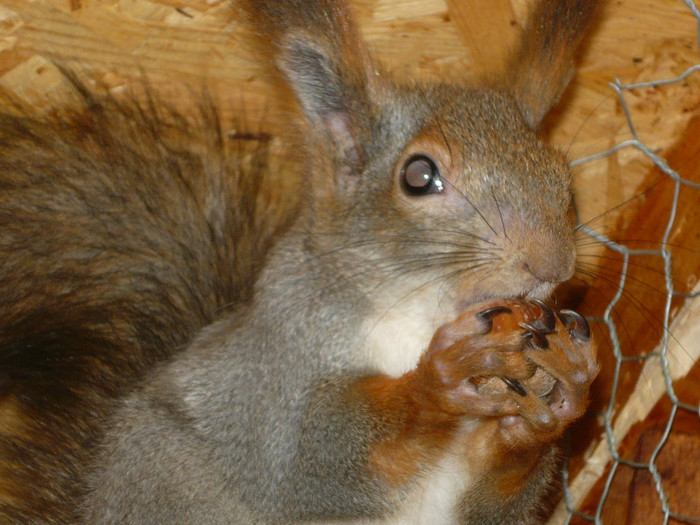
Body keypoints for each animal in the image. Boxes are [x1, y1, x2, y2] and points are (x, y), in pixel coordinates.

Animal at [0, 0, 600, 520]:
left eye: (561, 171)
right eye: (418, 175)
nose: (550, 262)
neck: (419, 315)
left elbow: (492, 502)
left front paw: (560, 394)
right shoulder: (266, 378)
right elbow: (308, 459)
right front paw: (441, 378)